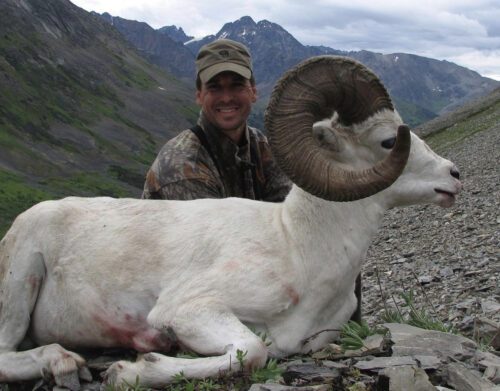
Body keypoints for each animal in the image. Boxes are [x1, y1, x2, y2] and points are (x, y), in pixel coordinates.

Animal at [0, 56, 460, 390]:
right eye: (389, 140)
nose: (454, 175)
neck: (297, 246)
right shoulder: (190, 309)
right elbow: (253, 351)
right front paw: (130, 371)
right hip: (20, 281)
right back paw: (62, 361)